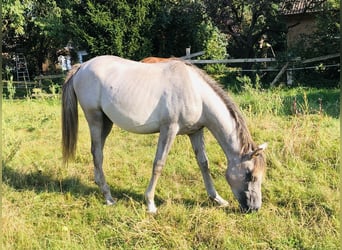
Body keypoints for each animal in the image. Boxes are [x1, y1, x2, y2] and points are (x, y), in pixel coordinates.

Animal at [62, 55, 268, 214]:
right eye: (250, 175)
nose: (254, 208)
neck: (196, 92)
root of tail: (82, 66)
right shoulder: (169, 129)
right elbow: (158, 164)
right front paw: (150, 203)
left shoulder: (195, 132)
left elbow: (203, 163)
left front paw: (217, 198)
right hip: (95, 118)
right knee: (98, 153)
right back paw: (108, 197)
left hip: (107, 122)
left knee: (97, 153)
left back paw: (100, 185)